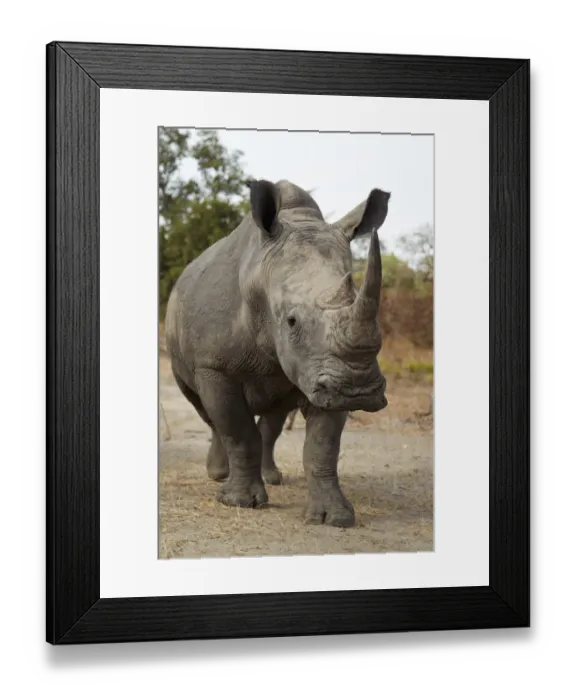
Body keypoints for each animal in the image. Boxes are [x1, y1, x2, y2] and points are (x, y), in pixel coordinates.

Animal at [164, 179, 390, 527]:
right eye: (291, 321)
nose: (359, 391)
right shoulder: (213, 366)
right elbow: (237, 431)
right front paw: (239, 503)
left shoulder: (324, 370)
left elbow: (323, 445)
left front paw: (334, 517)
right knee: (206, 412)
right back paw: (218, 475)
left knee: (274, 416)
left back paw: (272, 478)